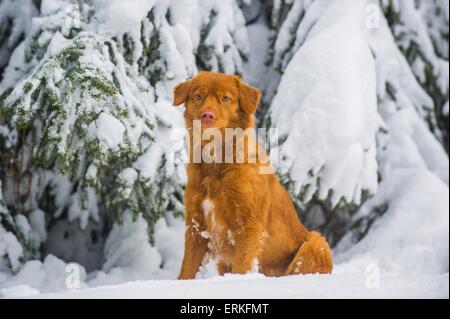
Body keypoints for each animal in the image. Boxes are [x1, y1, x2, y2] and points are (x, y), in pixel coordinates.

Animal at [174, 70, 332, 280]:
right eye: (198, 96)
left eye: (225, 98)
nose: (207, 115)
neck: (217, 164)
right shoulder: (196, 225)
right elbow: (187, 269)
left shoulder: (248, 226)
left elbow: (242, 266)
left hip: (315, 241)